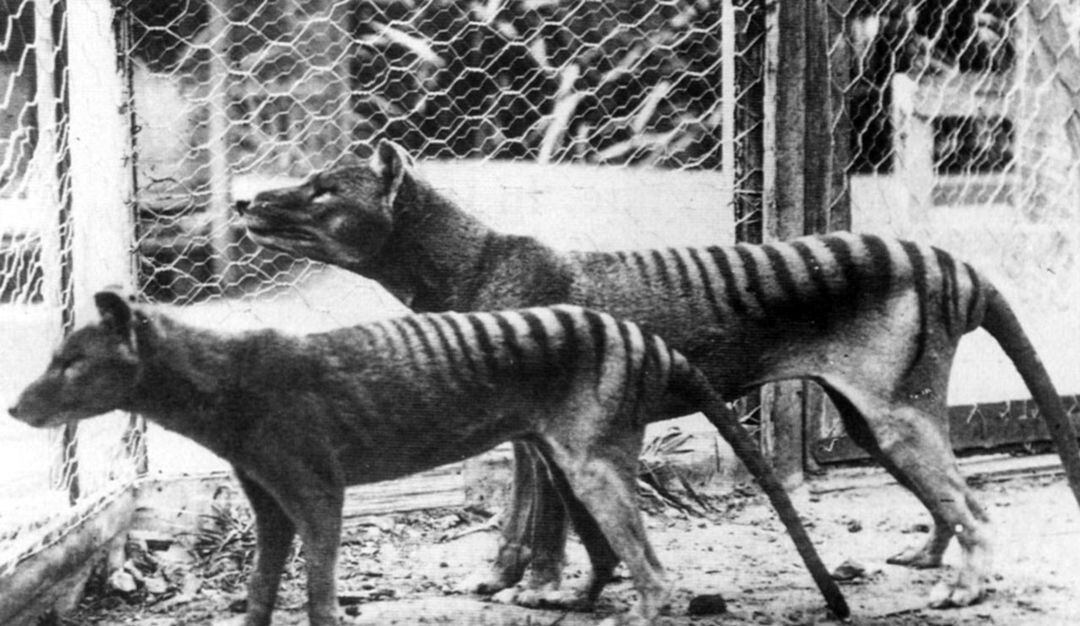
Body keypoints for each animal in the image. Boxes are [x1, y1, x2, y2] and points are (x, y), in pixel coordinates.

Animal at [8, 291, 848, 625]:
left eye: (71, 361)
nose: (16, 408)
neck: (224, 380)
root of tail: (648, 338)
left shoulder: (317, 489)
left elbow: (317, 592)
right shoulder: (267, 500)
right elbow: (258, 591)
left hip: (590, 459)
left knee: (656, 574)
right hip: (564, 456)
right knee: (615, 556)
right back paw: (572, 600)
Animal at [235, 139, 1080, 609]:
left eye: (322, 189)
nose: (245, 201)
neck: (474, 261)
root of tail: (950, 263)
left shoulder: (544, 428)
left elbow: (542, 521)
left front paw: (539, 586)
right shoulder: (526, 432)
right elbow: (518, 516)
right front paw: (502, 578)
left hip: (896, 414)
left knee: (975, 504)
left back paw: (965, 585)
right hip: (867, 421)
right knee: (949, 497)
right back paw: (932, 556)